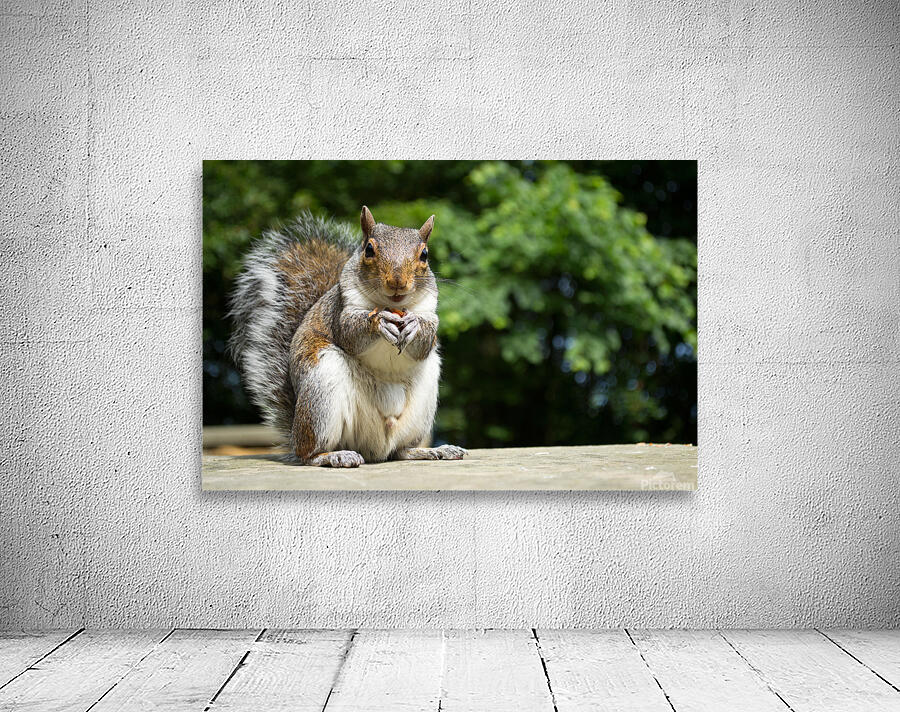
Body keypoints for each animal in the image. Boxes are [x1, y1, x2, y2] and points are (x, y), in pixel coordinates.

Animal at [228, 206, 468, 468]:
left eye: (424, 254)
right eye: (369, 249)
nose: (397, 282)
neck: (392, 305)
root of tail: (374, 447)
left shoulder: (430, 313)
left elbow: (425, 343)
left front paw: (415, 324)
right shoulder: (341, 311)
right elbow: (351, 333)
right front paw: (379, 321)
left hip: (422, 405)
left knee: (399, 451)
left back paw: (433, 451)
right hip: (322, 394)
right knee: (308, 454)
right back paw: (332, 455)